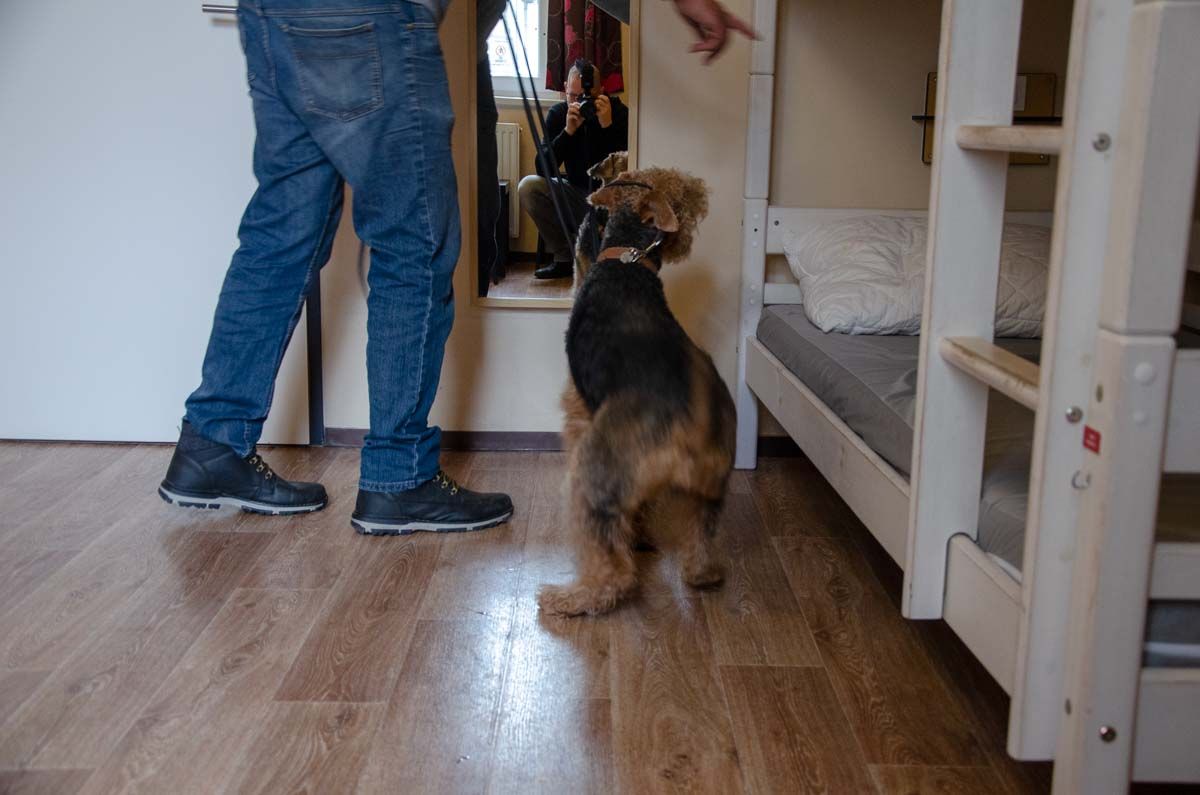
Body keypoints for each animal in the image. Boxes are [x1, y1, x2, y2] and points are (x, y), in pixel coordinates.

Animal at [538, 167, 736, 618]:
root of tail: (691, 418)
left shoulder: (579, 407)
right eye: (673, 188)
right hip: (709, 489)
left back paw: (568, 598)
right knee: (700, 545)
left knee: (613, 573)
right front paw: (640, 532)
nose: (699, 195)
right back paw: (702, 572)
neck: (627, 263)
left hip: (592, 472)